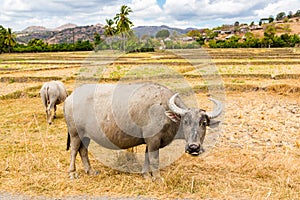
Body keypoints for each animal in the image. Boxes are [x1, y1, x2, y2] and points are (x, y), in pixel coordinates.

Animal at [63, 83, 223, 180]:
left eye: (203, 123)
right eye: (185, 121)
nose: (194, 147)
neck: (165, 111)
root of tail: (69, 98)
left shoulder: (149, 142)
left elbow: (147, 158)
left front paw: (146, 175)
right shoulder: (153, 141)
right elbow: (154, 159)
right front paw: (157, 178)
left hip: (85, 136)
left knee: (83, 151)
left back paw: (90, 171)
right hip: (75, 133)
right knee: (74, 150)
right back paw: (72, 173)